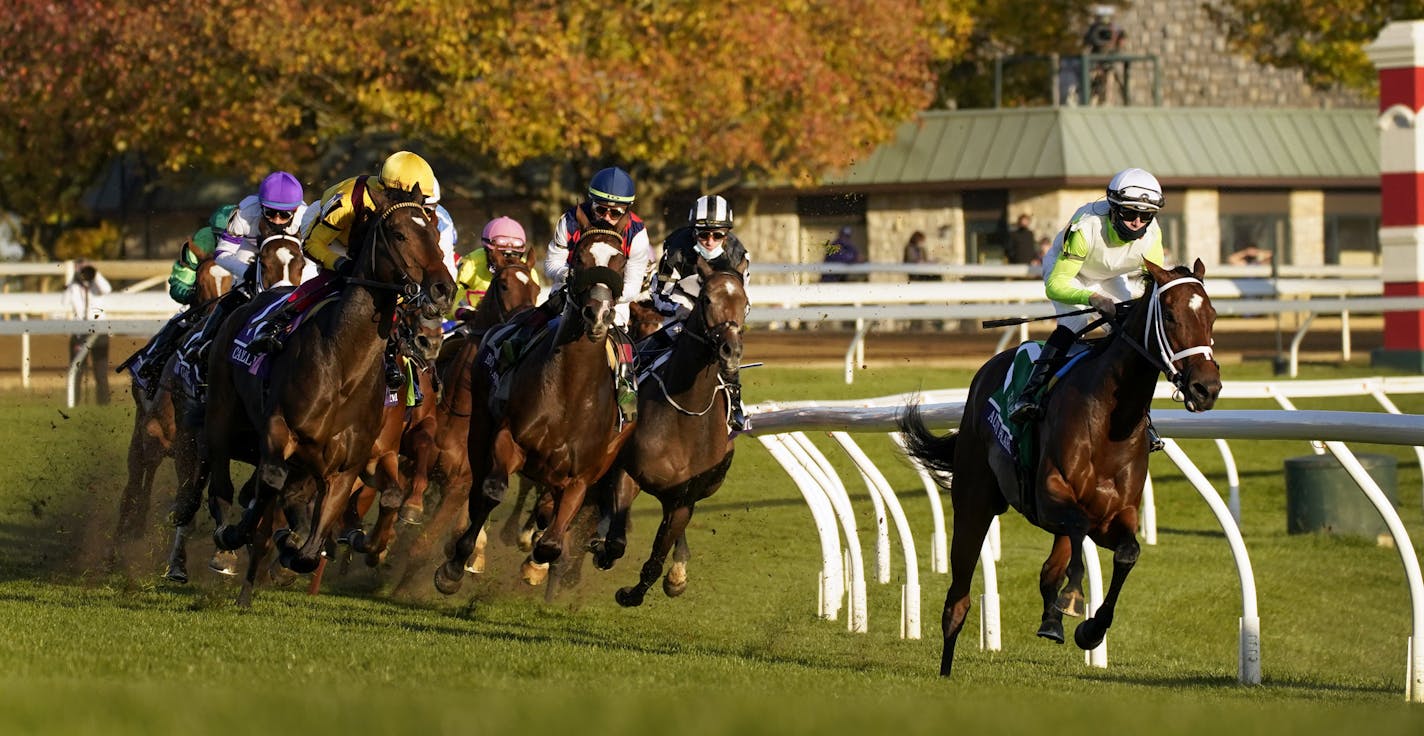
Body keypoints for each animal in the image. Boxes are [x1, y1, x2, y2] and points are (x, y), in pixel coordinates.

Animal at [202, 183, 449, 603]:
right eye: (398, 233)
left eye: (433, 233)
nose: (443, 287)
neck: (343, 366)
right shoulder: (280, 431)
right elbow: (269, 483)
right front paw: (248, 534)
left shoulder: (353, 463)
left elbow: (317, 537)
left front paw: (311, 545)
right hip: (221, 417)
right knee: (222, 481)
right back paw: (230, 542)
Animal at [432, 220, 635, 595]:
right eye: (579, 257)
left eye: (620, 263)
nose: (598, 314)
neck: (571, 391)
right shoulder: (508, 439)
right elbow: (491, 491)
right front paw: (455, 564)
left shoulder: (581, 476)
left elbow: (552, 542)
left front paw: (536, 565)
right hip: (479, 429)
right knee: (479, 487)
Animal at [589, 260, 751, 606]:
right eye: (706, 299)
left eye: (745, 304)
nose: (730, 351)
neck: (683, 415)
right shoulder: (626, 473)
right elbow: (616, 542)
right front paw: (601, 549)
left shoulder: (684, 500)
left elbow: (655, 560)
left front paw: (635, 592)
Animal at [899, 259, 1224, 677]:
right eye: (1169, 315)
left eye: (1212, 315)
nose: (1206, 388)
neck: (1111, 422)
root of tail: (988, 368)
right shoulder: (1050, 496)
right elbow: (1078, 531)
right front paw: (1072, 598)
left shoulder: (1114, 516)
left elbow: (1127, 552)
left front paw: (1090, 629)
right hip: (974, 502)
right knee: (959, 597)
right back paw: (946, 667)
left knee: (1051, 565)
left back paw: (1051, 618)